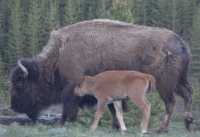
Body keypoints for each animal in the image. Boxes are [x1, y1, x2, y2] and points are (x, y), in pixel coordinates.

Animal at [9, 19, 194, 133]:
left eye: (19, 84)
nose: (13, 106)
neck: (59, 56)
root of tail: (181, 43)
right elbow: (112, 109)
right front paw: (115, 126)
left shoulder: (71, 86)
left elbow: (68, 107)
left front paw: (64, 123)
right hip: (181, 79)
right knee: (188, 94)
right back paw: (189, 124)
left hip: (165, 83)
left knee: (171, 102)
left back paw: (163, 129)